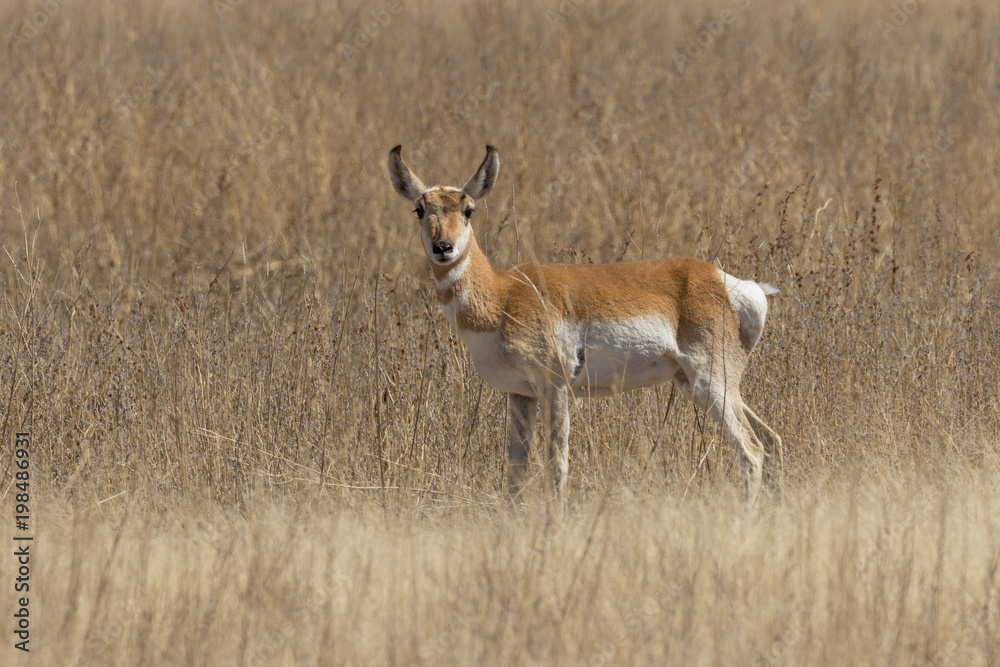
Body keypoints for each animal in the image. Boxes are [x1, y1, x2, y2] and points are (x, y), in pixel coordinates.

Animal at [388, 145, 783, 506]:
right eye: (420, 209)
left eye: (468, 209)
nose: (443, 248)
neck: (505, 294)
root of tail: (724, 281)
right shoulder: (520, 394)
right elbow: (516, 473)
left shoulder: (557, 388)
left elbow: (557, 465)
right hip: (696, 384)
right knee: (771, 439)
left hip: (712, 382)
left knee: (751, 449)